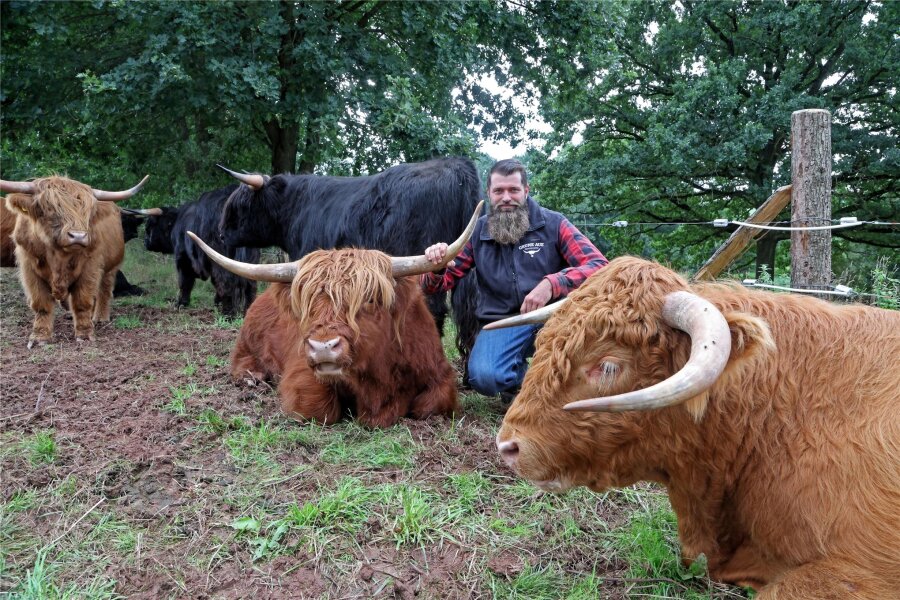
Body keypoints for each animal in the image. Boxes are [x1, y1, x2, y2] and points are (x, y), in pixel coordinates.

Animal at [1, 175, 148, 346]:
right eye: (49, 208)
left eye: (87, 213)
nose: (78, 236)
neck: (58, 256)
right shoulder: (29, 268)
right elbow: (41, 304)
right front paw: (39, 337)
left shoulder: (90, 267)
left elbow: (82, 301)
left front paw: (84, 334)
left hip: (112, 267)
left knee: (104, 290)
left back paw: (100, 317)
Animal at [186, 202, 482, 426]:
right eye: (307, 304)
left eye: (370, 299)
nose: (323, 348)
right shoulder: (302, 375)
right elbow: (320, 409)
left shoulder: (439, 377)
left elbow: (430, 405)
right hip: (247, 342)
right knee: (241, 362)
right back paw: (252, 380)